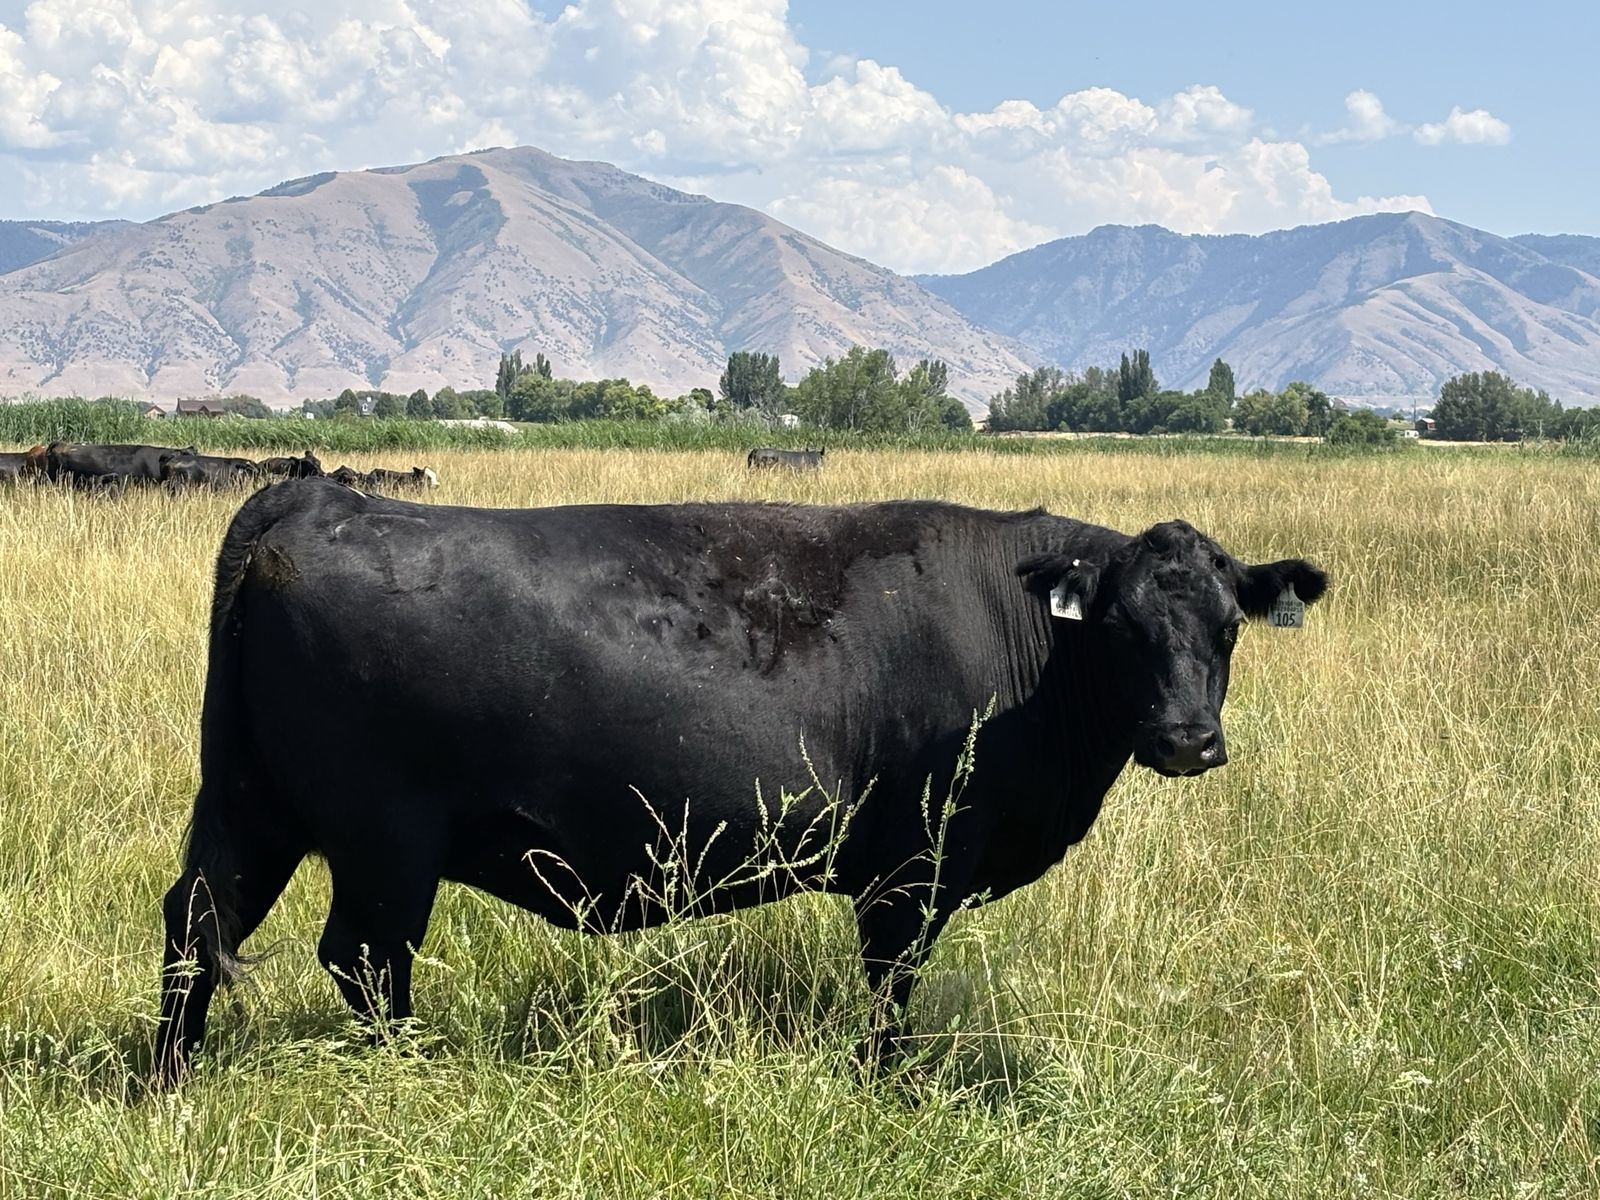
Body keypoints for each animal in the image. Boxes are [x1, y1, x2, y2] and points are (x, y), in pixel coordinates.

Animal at [155, 481, 1328, 1084]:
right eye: (1124, 628)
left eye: (1227, 627)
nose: (1187, 738)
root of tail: (316, 498)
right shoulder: (912, 871)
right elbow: (891, 988)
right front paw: (888, 1088)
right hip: (385, 842)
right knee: (362, 959)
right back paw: (407, 1076)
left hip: (250, 807)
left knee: (195, 923)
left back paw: (167, 1079)